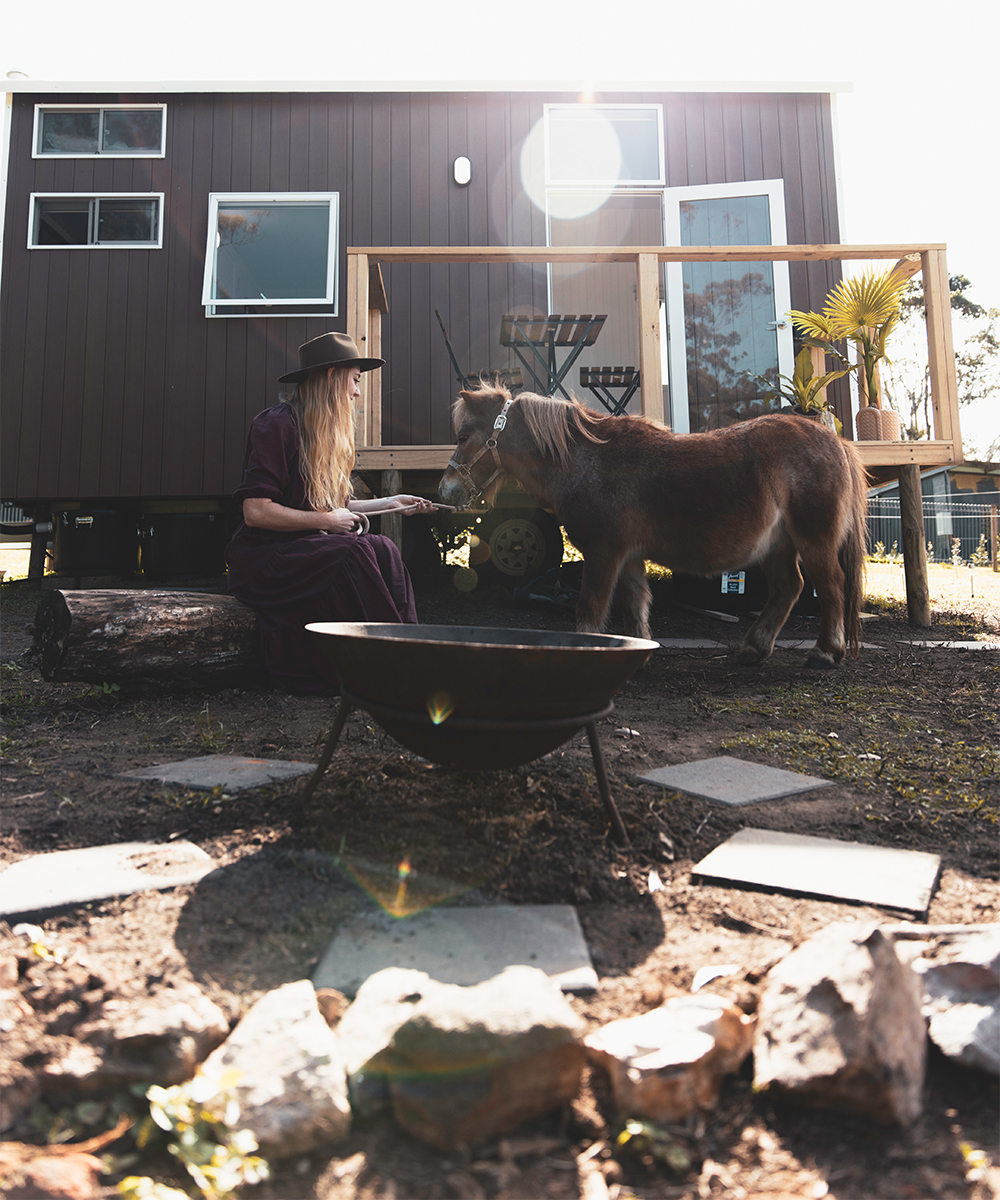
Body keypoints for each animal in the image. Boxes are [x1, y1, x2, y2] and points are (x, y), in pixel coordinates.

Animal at [436, 384, 864, 667]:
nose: (445, 489)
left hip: (814, 541)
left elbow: (590, 609)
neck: (588, 462)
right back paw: (754, 648)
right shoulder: (627, 558)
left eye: (463, 435)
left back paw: (825, 652)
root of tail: (834, 440)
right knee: (788, 588)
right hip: (779, 546)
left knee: (830, 587)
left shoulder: (603, 553)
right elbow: (635, 607)